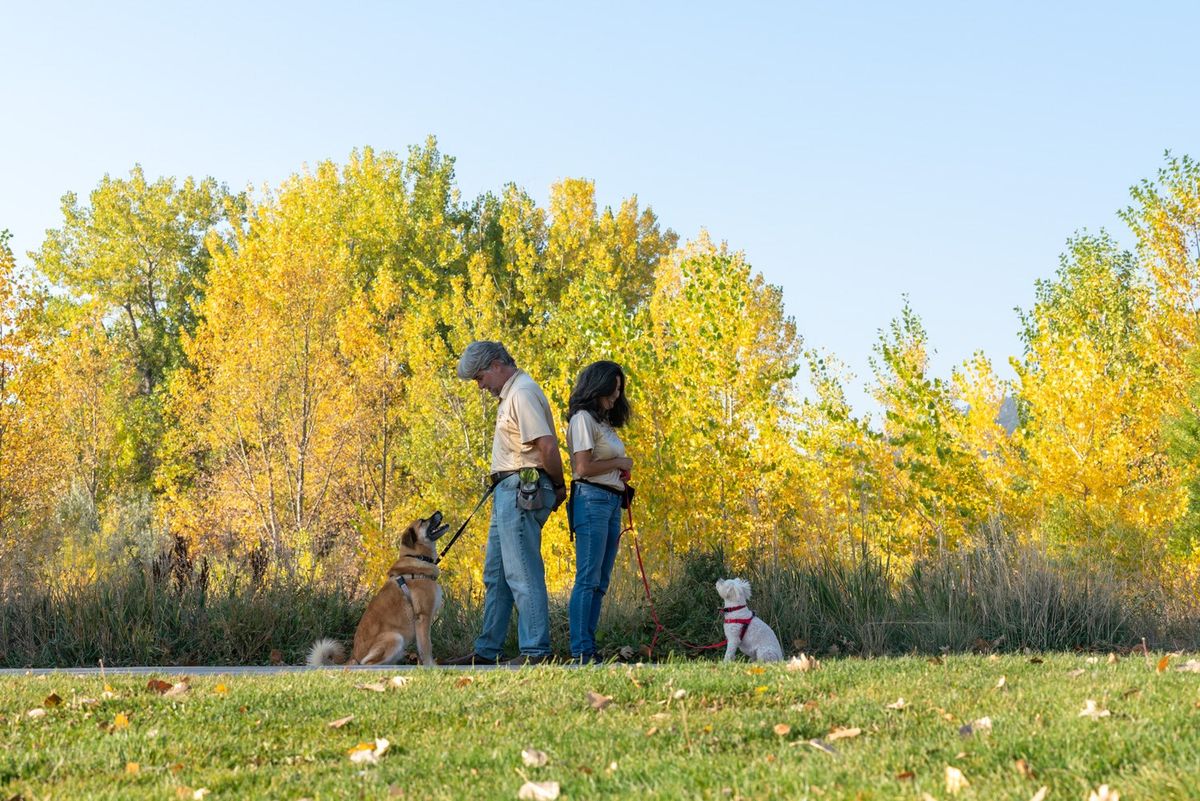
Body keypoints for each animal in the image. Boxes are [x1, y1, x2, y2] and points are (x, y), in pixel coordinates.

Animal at [307, 515, 448, 666]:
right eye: (422, 521)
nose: (438, 512)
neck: (416, 557)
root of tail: (354, 657)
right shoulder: (423, 617)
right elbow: (426, 646)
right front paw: (430, 665)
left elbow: (422, 647)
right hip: (395, 638)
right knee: (368, 664)